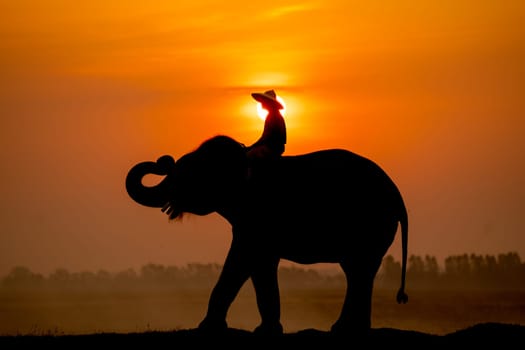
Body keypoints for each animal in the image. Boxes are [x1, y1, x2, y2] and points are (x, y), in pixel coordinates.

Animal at [125, 135, 408, 336]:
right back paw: (351, 329)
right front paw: (264, 329)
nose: (163, 161)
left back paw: (345, 329)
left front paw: (212, 328)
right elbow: (257, 263)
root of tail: (397, 194)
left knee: (359, 270)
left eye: (188, 174)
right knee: (358, 272)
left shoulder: (258, 218)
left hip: (370, 225)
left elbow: (242, 260)